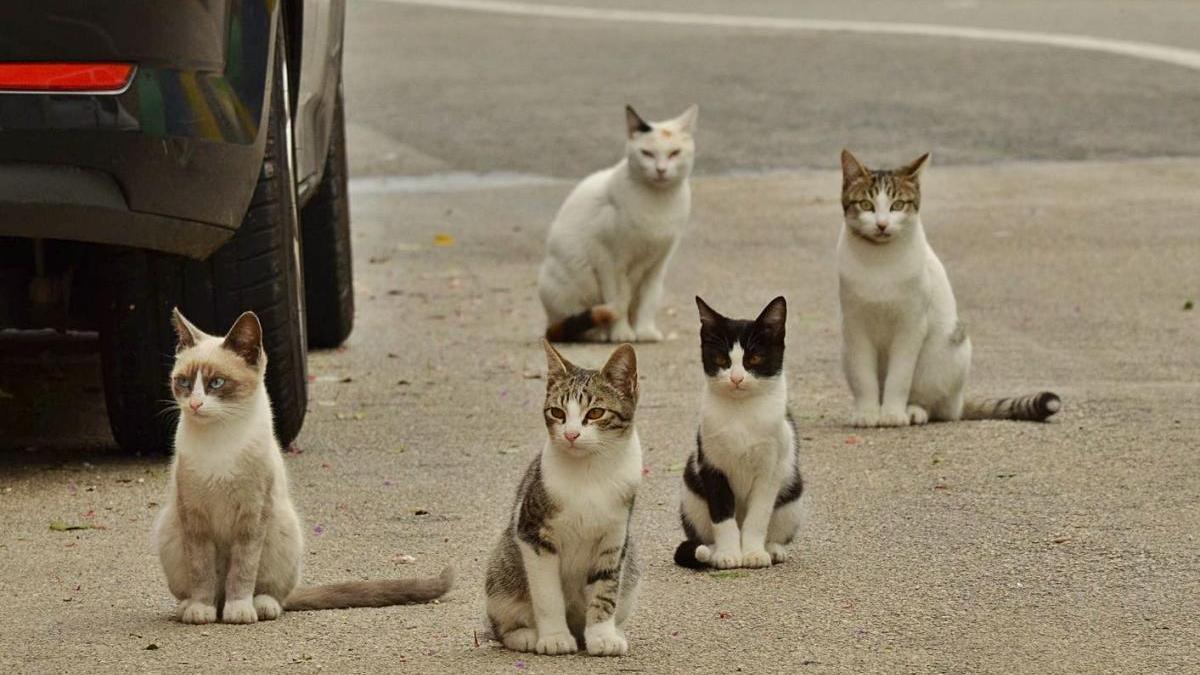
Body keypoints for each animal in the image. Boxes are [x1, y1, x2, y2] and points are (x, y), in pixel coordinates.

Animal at [150, 307, 451, 624]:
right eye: (184, 382)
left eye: (216, 383)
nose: (195, 404)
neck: (219, 440)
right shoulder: (194, 517)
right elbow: (202, 571)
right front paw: (201, 609)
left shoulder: (252, 515)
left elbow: (242, 571)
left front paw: (239, 610)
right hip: (170, 530)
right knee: (204, 587)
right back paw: (193, 606)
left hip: (282, 527)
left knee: (274, 594)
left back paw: (259, 606)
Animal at [484, 338, 643, 653]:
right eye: (557, 412)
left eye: (595, 413)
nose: (570, 434)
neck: (591, 472)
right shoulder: (533, 534)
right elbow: (548, 595)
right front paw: (554, 637)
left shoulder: (614, 538)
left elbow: (605, 589)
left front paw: (602, 635)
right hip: (501, 574)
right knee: (502, 625)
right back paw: (525, 635)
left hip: (630, 568)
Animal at [835, 151, 1060, 425]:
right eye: (866, 205)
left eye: (897, 205)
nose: (882, 224)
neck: (879, 261)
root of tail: (960, 400)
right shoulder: (855, 326)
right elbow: (863, 376)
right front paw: (867, 413)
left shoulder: (911, 325)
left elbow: (899, 377)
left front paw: (892, 414)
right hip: (846, 350)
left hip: (945, 353)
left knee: (939, 407)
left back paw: (914, 410)